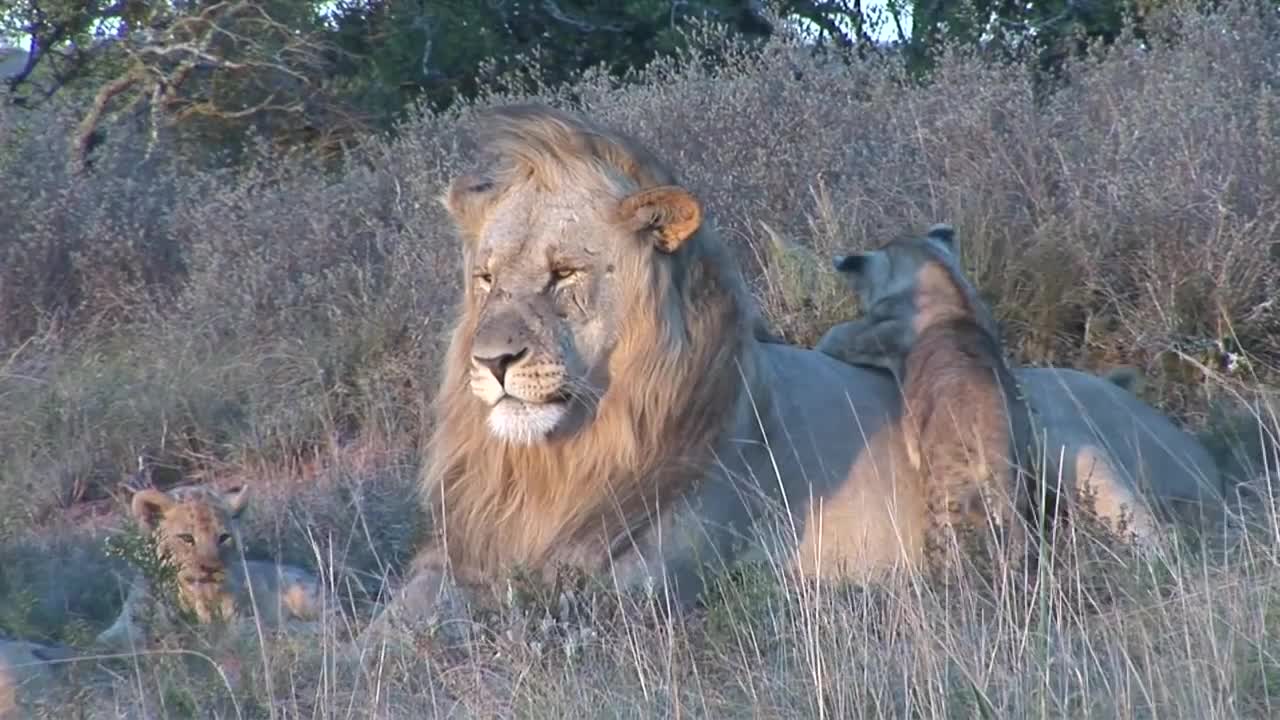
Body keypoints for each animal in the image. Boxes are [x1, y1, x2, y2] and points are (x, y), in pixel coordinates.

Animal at [95, 484, 325, 648]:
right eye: (187, 538)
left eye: (223, 537)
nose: (210, 568)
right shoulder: (125, 621)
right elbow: (116, 637)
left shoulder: (233, 620)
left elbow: (232, 632)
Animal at [814, 224, 1034, 571]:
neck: (939, 270)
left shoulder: (858, 336)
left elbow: (830, 338)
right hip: (1016, 487)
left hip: (944, 491)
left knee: (950, 548)